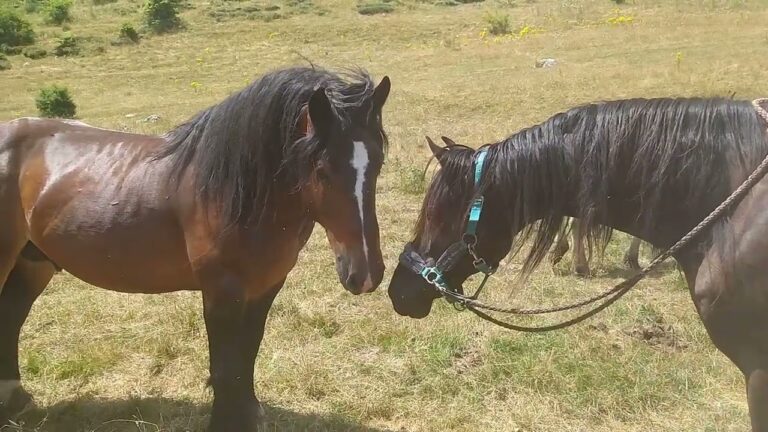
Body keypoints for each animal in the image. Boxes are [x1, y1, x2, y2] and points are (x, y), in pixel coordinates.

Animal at [0, 66, 391, 431]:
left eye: (377, 163)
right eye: (322, 170)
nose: (366, 274)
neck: (237, 193)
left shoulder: (265, 287)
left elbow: (247, 353)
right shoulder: (221, 290)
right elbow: (225, 367)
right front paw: (225, 421)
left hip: (33, 263)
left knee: (11, 317)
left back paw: (17, 400)